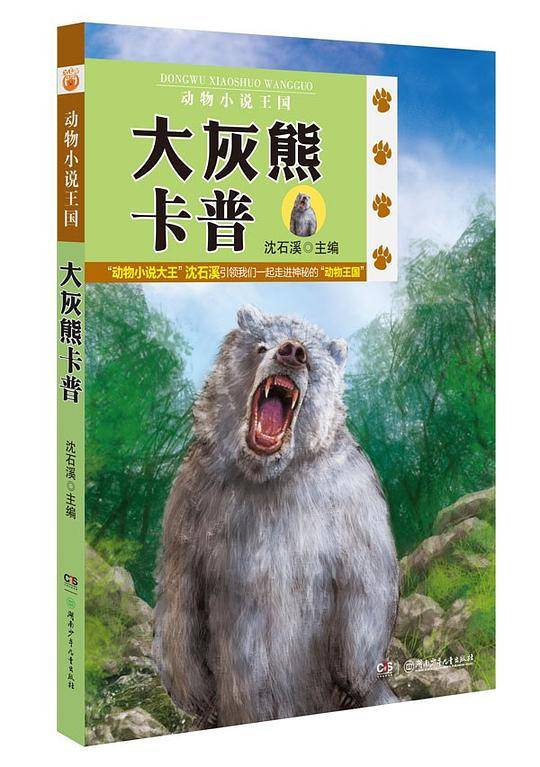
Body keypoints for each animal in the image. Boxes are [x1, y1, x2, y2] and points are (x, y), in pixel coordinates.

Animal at [153, 305, 399, 728]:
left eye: (312, 360)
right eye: (261, 345)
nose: (292, 351)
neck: (265, 476)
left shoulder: (350, 495)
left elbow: (367, 577)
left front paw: (351, 678)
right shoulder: (195, 499)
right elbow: (181, 589)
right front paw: (194, 694)